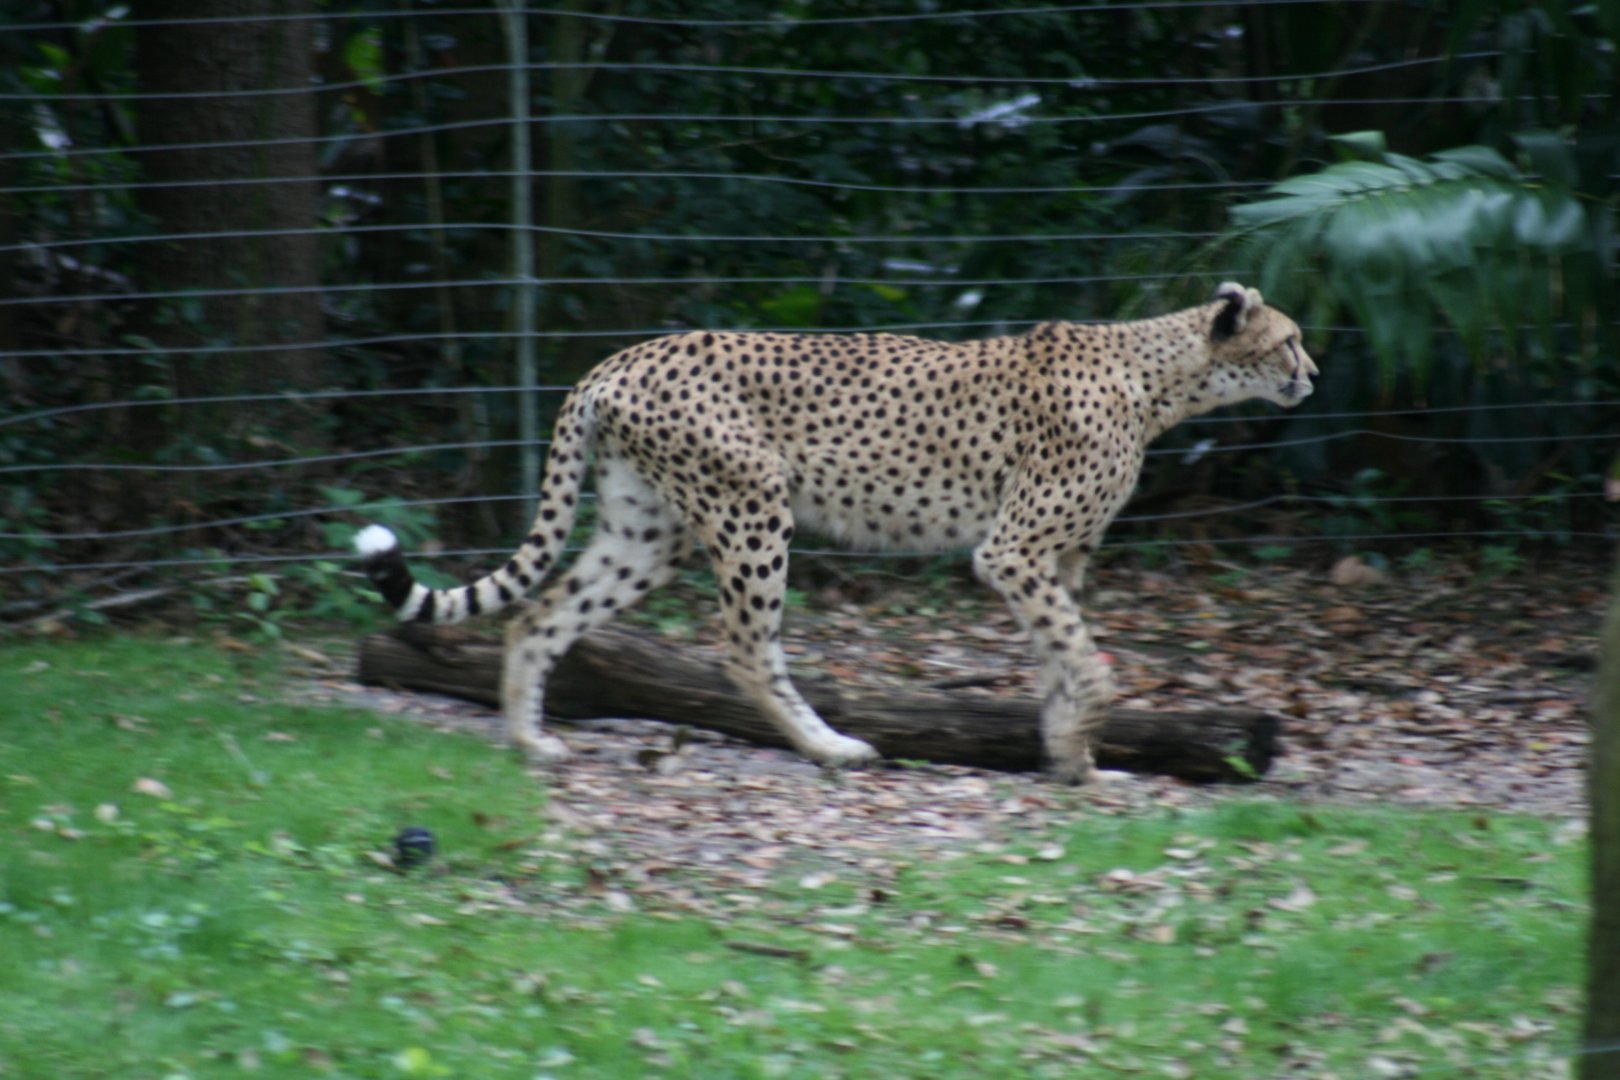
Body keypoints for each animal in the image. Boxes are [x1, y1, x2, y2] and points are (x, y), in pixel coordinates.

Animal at [354, 281, 1316, 784]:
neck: (1160, 379)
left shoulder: (1052, 562)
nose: (1312, 374)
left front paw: (1069, 759)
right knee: (746, 647)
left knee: (540, 615)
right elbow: (1089, 663)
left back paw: (528, 740)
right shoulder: (1013, 551)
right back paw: (829, 745)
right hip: (752, 503)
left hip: (648, 530)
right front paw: (1081, 750)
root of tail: (620, 356)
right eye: (1290, 339)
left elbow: (1060, 662)